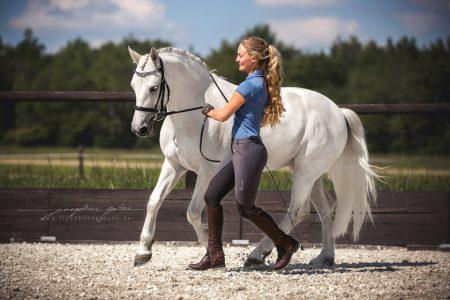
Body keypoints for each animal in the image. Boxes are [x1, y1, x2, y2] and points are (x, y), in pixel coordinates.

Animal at [128, 45, 378, 266]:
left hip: (306, 173)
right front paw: (143, 252)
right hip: (310, 174)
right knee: (324, 212)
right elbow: (154, 201)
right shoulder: (174, 165)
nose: (139, 129)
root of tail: (338, 112)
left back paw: (258, 255)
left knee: (297, 210)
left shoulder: (206, 172)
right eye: (133, 86)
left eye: (153, 88)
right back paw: (324, 257)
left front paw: (207, 246)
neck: (196, 114)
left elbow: (193, 212)